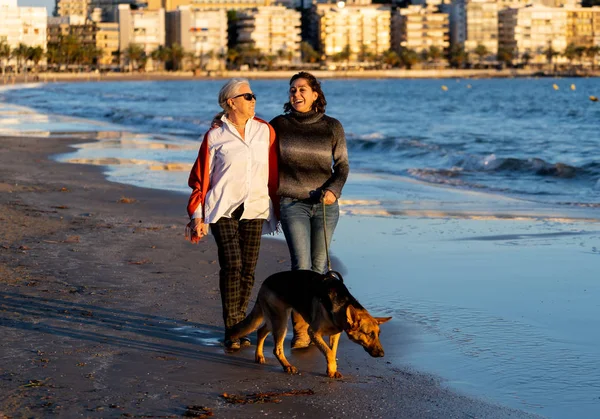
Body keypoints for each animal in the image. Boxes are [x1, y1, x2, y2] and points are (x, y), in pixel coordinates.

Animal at [227, 270, 392, 378]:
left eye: (378, 334)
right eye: (368, 334)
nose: (382, 354)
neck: (340, 303)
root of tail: (266, 281)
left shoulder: (335, 334)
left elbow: (332, 351)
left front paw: (331, 369)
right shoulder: (313, 333)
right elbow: (329, 352)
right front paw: (331, 369)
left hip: (275, 318)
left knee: (261, 331)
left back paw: (259, 356)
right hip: (280, 321)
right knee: (277, 349)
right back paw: (287, 366)